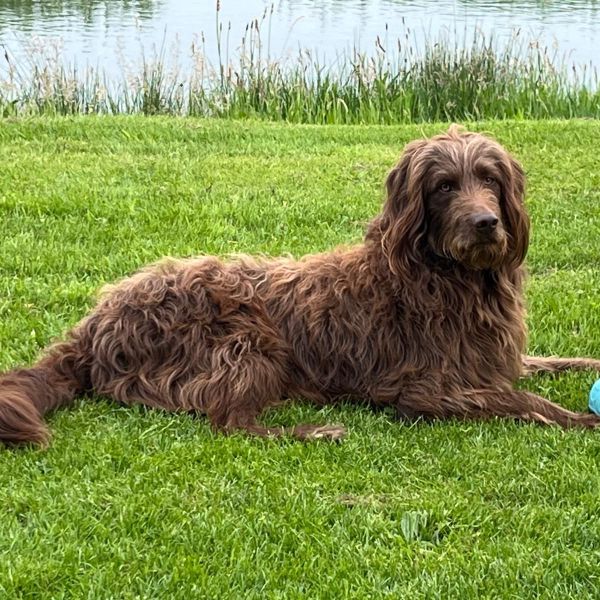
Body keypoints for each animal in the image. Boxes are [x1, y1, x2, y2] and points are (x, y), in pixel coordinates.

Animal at [1, 126, 600, 446]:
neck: (448, 277)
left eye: (490, 180)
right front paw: (580, 418)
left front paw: (586, 366)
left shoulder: (494, 360)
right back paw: (313, 432)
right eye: (445, 186)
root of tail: (95, 323)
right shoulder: (426, 389)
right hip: (249, 344)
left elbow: (547, 365)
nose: (485, 223)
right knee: (230, 422)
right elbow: (522, 400)